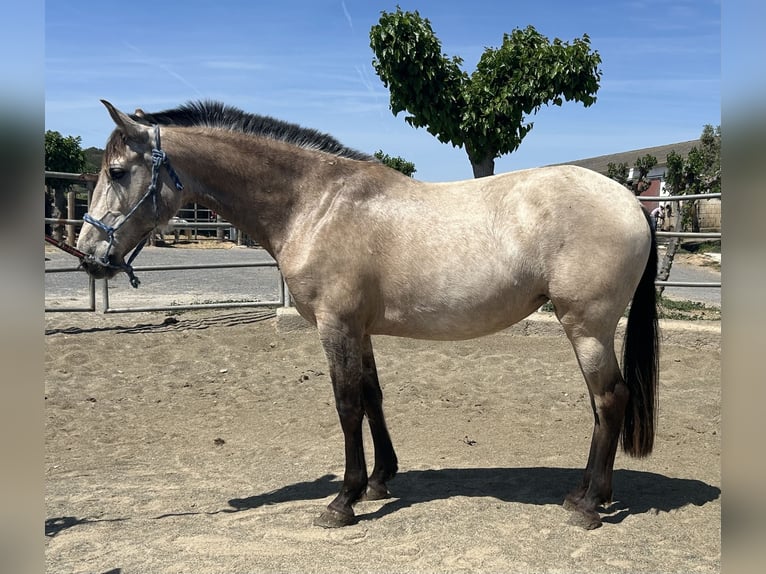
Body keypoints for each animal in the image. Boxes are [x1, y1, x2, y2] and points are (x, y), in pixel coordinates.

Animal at [78, 99, 660, 532]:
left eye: (116, 172)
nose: (88, 254)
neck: (316, 203)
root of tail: (631, 201)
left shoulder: (335, 324)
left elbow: (346, 404)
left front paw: (344, 499)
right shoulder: (359, 329)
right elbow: (373, 397)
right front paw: (381, 480)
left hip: (586, 326)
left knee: (610, 399)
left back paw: (588, 506)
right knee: (602, 405)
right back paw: (586, 493)